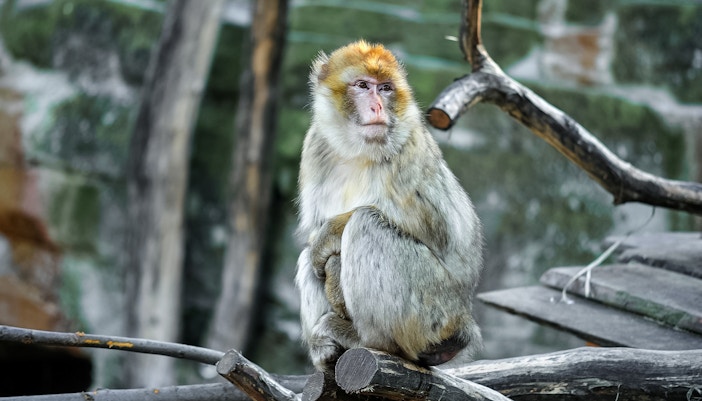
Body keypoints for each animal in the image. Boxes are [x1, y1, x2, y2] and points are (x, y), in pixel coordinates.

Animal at [295, 40, 484, 372]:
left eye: (385, 88)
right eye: (362, 86)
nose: (378, 107)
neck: (355, 148)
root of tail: (463, 320)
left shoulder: (407, 146)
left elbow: (434, 229)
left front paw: (329, 235)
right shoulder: (315, 143)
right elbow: (313, 235)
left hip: (432, 310)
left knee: (366, 224)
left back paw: (367, 339)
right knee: (308, 254)